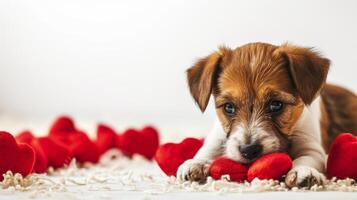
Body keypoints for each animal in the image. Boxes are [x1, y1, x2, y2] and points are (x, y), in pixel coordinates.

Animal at [177, 41, 356, 188]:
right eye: (229, 107)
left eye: (276, 105)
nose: (249, 150)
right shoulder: (218, 135)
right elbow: (208, 149)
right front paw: (196, 163)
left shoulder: (311, 146)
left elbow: (306, 158)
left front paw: (304, 172)